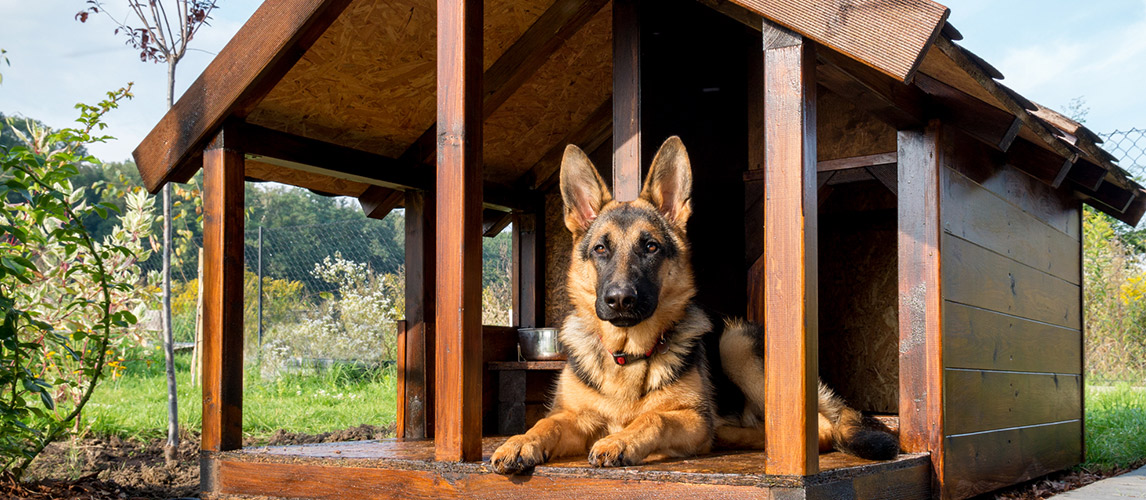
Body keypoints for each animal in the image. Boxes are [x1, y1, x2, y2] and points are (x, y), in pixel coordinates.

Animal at [488, 135, 898, 472]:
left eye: (650, 246)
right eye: (601, 249)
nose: (620, 300)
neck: (628, 356)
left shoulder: (688, 417)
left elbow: (655, 418)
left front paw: (621, 440)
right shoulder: (576, 417)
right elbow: (546, 422)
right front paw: (520, 442)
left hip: (735, 344)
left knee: (821, 428)